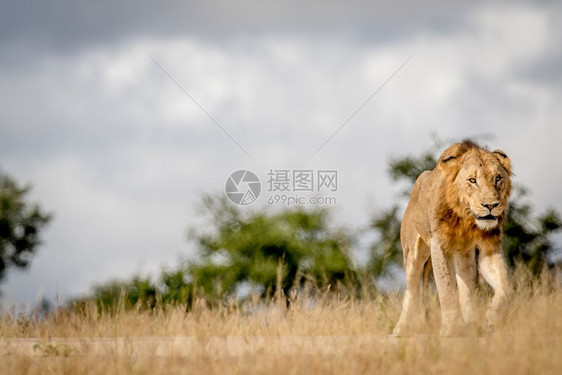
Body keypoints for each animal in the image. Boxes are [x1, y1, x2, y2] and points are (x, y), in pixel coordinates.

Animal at [392, 141, 510, 338]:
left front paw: (493, 316)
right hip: (412, 252)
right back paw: (401, 328)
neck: (466, 218)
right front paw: (451, 328)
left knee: (465, 284)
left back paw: (472, 323)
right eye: (472, 180)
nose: (491, 205)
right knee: (412, 288)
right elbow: (446, 287)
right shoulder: (438, 246)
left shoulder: (490, 247)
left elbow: (505, 284)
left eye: (498, 178)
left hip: (464, 256)